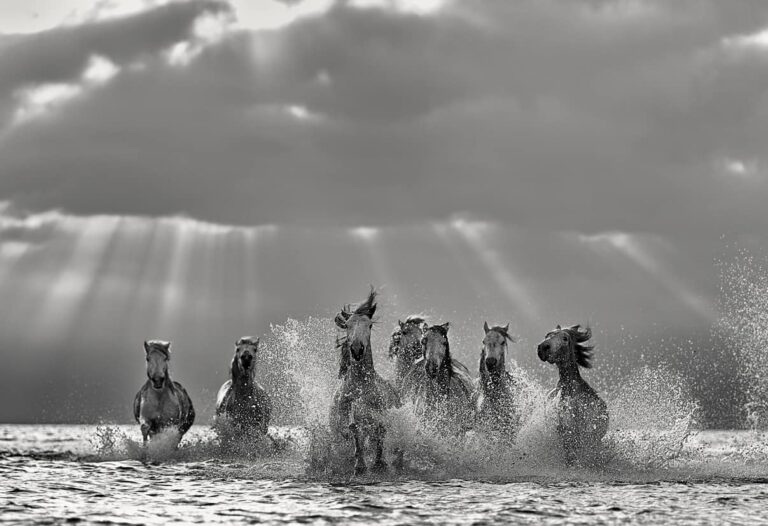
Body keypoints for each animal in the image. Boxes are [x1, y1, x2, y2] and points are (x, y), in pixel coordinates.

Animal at [330, 288, 401, 475]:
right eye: (347, 325)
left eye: (369, 325)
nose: (357, 349)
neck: (361, 386)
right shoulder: (349, 416)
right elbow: (354, 428)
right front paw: (360, 465)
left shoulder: (379, 415)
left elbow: (380, 429)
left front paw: (379, 463)